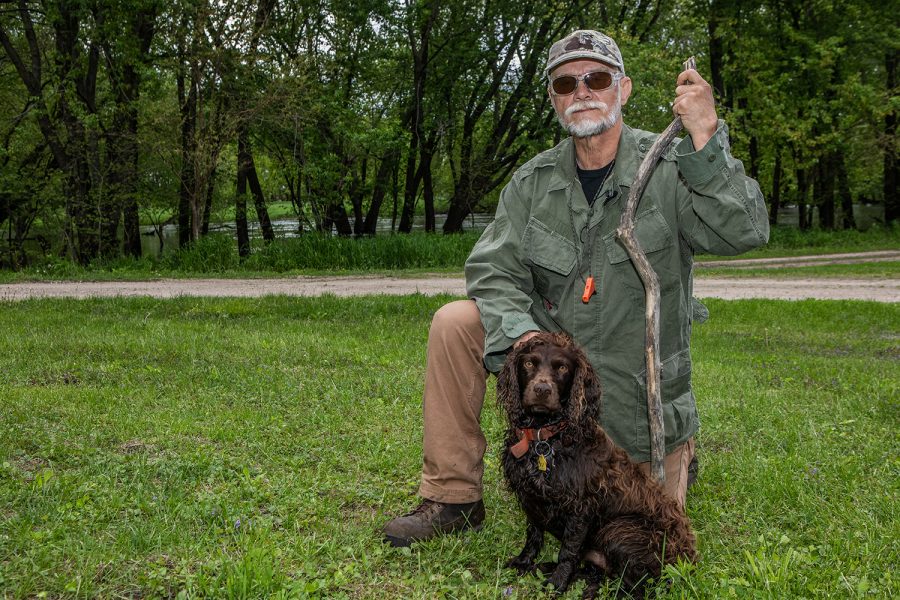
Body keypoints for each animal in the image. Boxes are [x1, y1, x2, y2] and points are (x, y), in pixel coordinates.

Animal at [500, 330, 696, 596]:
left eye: (562, 368)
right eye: (529, 364)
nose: (542, 389)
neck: (545, 438)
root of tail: (689, 562)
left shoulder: (580, 507)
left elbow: (568, 551)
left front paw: (557, 583)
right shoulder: (531, 496)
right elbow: (533, 534)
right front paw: (524, 561)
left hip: (620, 529)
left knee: (637, 587)